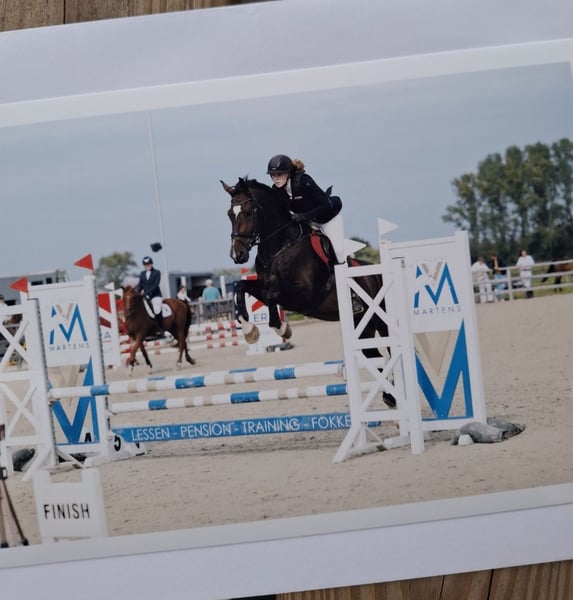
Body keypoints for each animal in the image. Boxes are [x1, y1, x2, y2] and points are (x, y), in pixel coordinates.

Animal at [222, 177, 396, 405]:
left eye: (249, 212)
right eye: (229, 214)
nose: (237, 255)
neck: (280, 246)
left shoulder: (305, 294)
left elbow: (271, 295)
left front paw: (281, 328)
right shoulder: (265, 286)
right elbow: (242, 287)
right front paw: (250, 330)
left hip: (381, 320)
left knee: (391, 351)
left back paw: (393, 396)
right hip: (361, 326)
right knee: (375, 357)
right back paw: (388, 396)